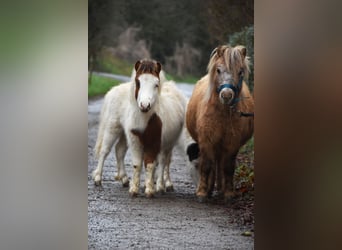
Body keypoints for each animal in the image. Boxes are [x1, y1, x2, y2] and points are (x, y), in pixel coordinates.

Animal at [92, 59, 186, 197]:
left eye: (156, 84)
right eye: (138, 82)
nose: (145, 105)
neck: (146, 119)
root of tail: (112, 91)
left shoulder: (155, 143)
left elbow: (151, 164)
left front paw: (150, 188)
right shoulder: (135, 140)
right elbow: (137, 164)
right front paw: (135, 189)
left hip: (127, 135)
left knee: (120, 150)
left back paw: (125, 179)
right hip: (113, 128)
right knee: (105, 151)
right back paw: (98, 178)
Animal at [184, 45, 254, 203]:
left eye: (240, 71)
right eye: (218, 70)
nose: (226, 95)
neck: (223, 113)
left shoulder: (231, 144)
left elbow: (228, 167)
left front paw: (228, 193)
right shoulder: (207, 142)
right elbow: (206, 166)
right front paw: (202, 193)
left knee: (220, 164)